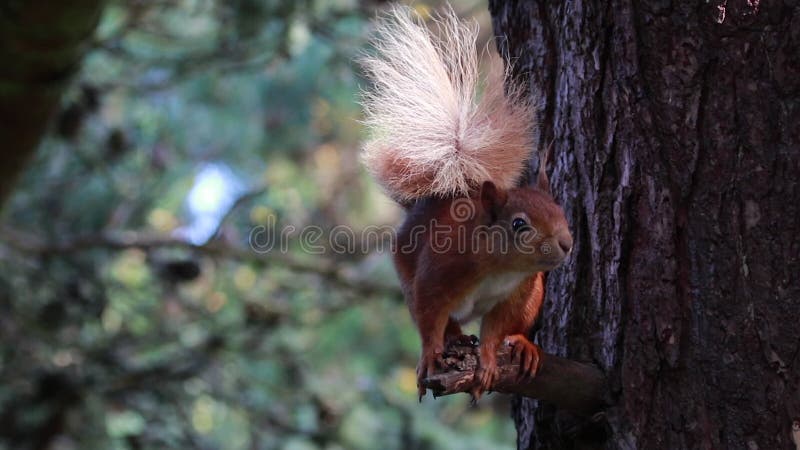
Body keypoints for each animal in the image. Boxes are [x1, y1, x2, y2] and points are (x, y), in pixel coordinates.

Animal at [360, 6, 572, 400]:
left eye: (562, 212)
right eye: (519, 224)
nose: (566, 243)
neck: (500, 267)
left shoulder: (519, 292)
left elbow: (496, 330)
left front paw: (488, 362)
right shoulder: (439, 272)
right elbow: (430, 319)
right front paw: (430, 356)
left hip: (536, 293)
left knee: (511, 327)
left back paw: (523, 345)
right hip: (408, 276)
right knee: (442, 320)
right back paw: (456, 338)